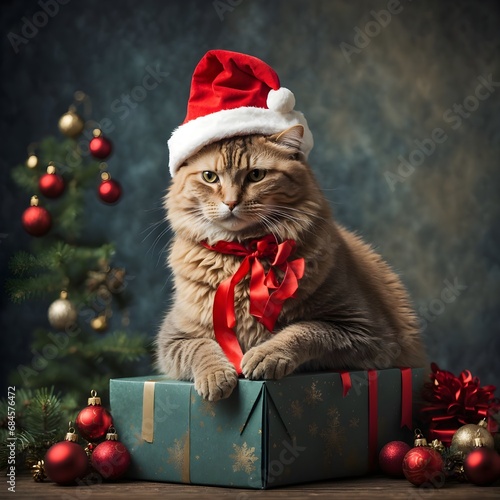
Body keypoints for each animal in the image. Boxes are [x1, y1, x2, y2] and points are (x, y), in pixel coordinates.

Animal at [155, 126, 426, 402]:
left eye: (256, 175)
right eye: (209, 177)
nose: (230, 203)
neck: (245, 252)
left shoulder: (366, 331)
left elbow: (305, 329)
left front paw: (266, 354)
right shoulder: (172, 338)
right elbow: (202, 346)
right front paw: (216, 376)